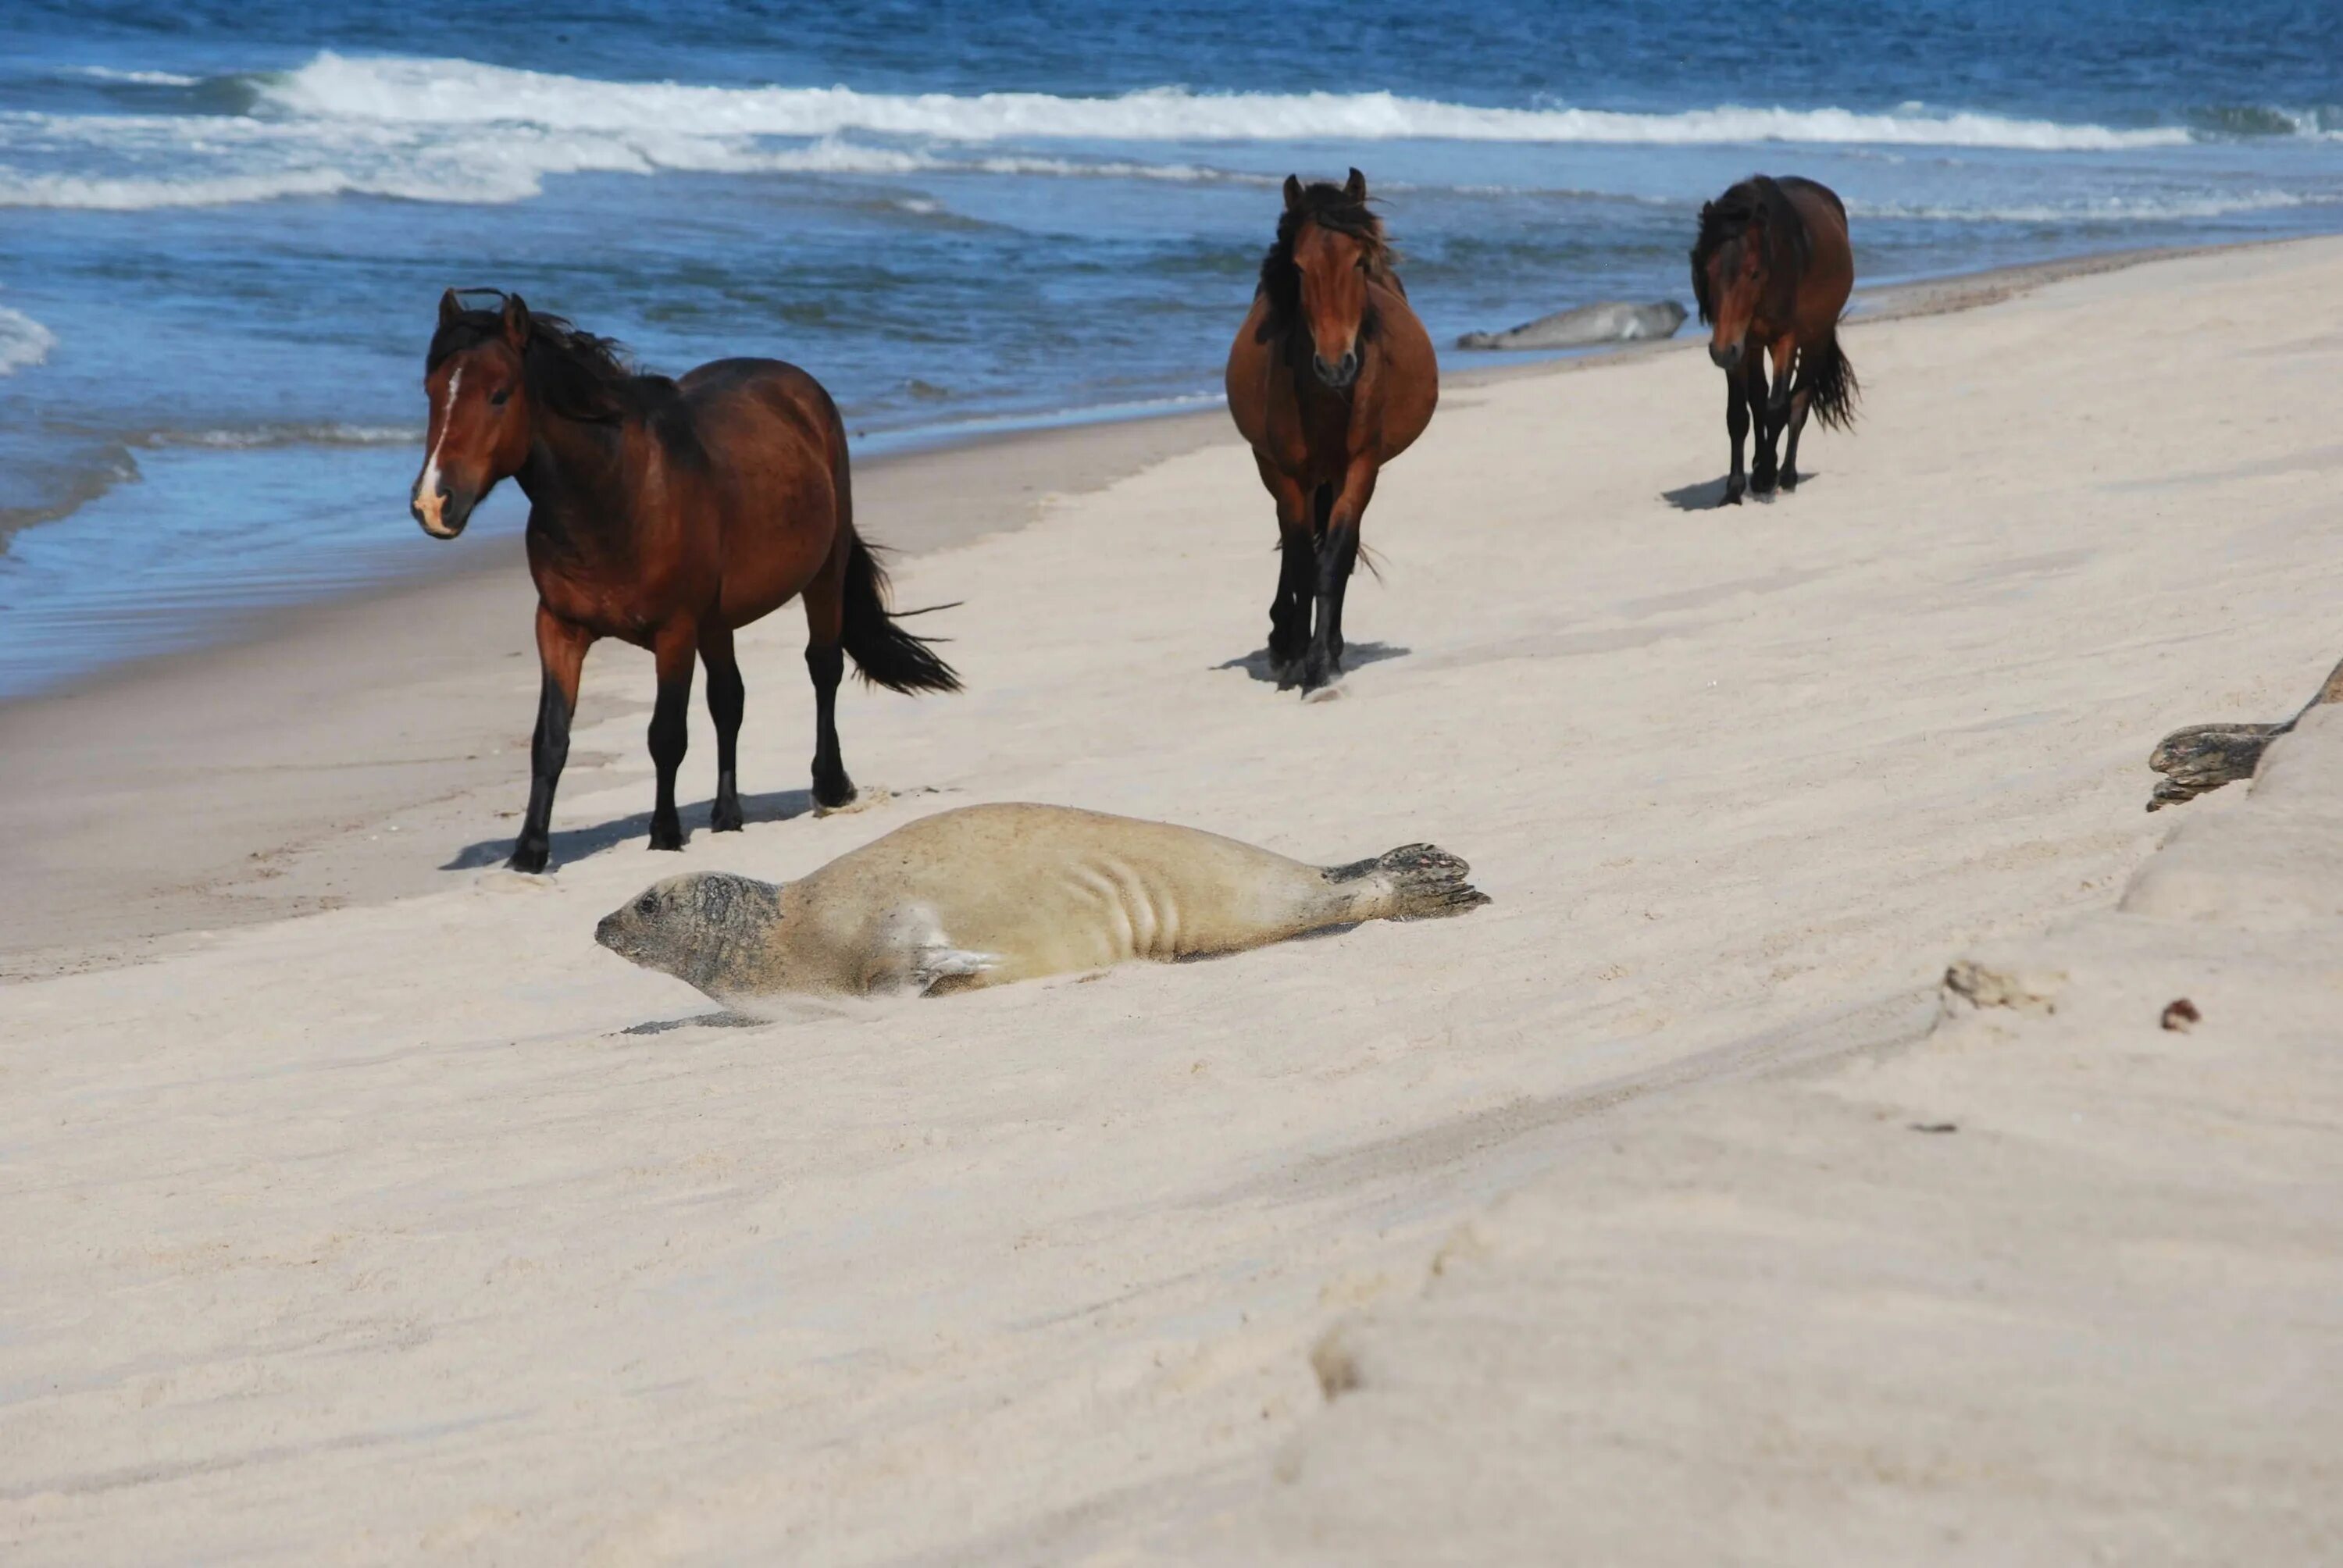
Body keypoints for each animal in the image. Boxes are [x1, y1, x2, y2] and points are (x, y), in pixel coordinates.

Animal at [408, 293, 956, 876]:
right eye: (432, 391)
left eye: (499, 394)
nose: (433, 504)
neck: (614, 498)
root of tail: (799, 388)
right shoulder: (559, 627)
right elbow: (550, 739)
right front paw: (529, 851)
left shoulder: (674, 633)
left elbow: (665, 735)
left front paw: (665, 834)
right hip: (718, 621)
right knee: (729, 699)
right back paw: (727, 814)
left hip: (822, 578)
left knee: (822, 668)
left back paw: (830, 787)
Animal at [1218, 164, 1434, 689]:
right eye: (1298, 267)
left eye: (1358, 263)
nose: (1337, 366)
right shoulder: (1284, 471)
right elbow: (1300, 558)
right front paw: (1295, 654)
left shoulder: (1361, 466)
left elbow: (1333, 557)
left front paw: (1320, 665)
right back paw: (1284, 639)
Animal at [1696, 179, 1856, 508]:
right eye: (1708, 269)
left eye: (1754, 272)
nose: (1720, 351)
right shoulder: (1740, 346)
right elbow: (1739, 415)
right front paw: (1734, 489)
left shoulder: (1785, 340)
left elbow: (1778, 407)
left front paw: (1765, 476)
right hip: (1756, 346)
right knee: (1759, 399)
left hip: (1815, 341)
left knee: (1798, 402)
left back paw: (1786, 476)